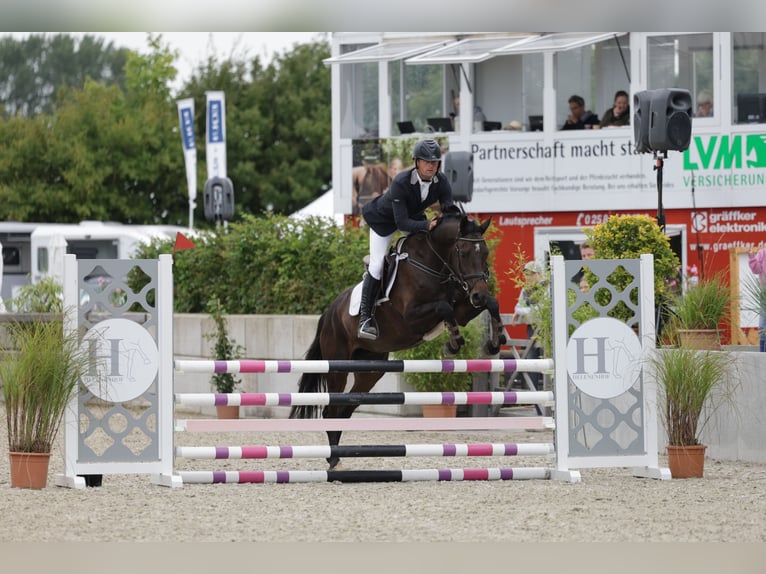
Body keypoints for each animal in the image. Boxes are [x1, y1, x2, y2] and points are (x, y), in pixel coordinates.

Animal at [292, 209, 508, 470]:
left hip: (371, 370)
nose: (476, 292)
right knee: (331, 411)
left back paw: (336, 457)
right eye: (463, 252)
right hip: (337, 366)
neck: (435, 265)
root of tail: (329, 312)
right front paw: (453, 343)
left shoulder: (464, 310)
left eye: (485, 253)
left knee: (344, 409)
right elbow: (444, 307)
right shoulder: (412, 318)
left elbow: (491, 303)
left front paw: (495, 342)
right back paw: (334, 460)